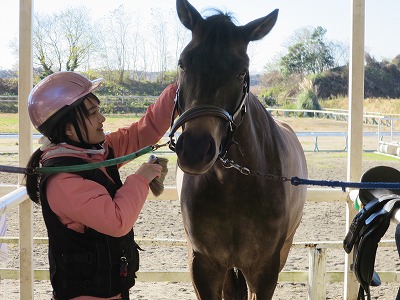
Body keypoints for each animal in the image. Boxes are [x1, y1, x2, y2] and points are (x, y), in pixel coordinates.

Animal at [167, 1, 308, 298]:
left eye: (242, 71)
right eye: (183, 63)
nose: (195, 150)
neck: (232, 186)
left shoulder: (264, 270)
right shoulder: (204, 266)